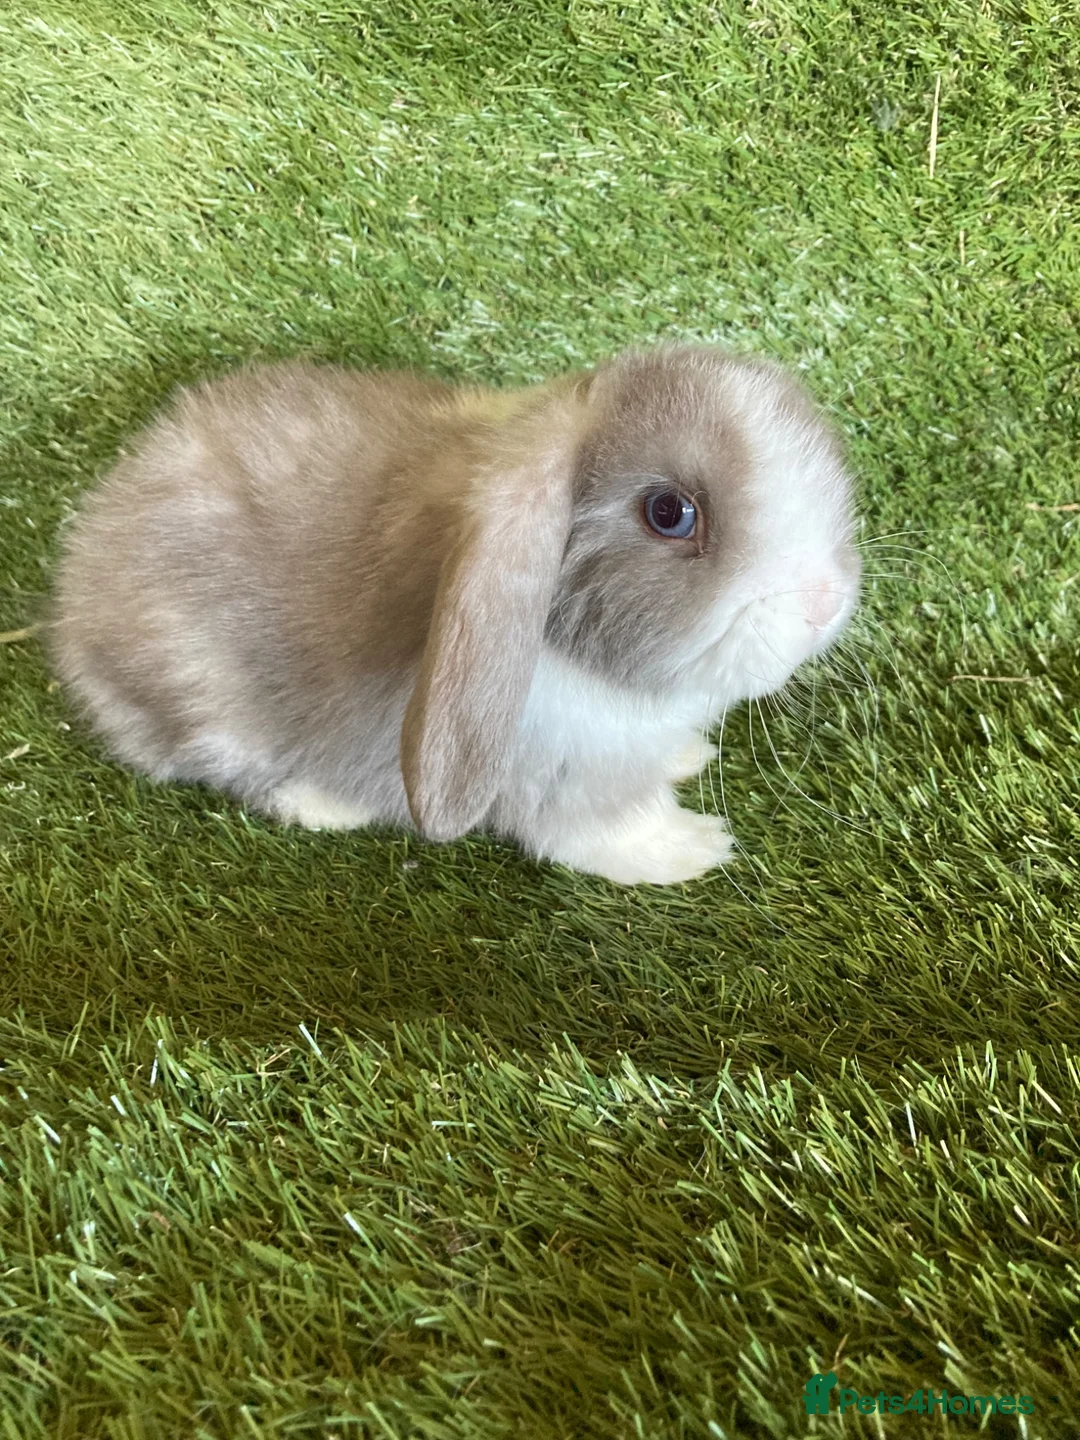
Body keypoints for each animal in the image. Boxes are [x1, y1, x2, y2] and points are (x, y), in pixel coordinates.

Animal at [50, 343, 860, 885]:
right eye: (670, 513)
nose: (825, 602)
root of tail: (73, 599)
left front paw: (691, 755)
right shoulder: (566, 784)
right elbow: (609, 834)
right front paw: (696, 848)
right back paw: (325, 805)